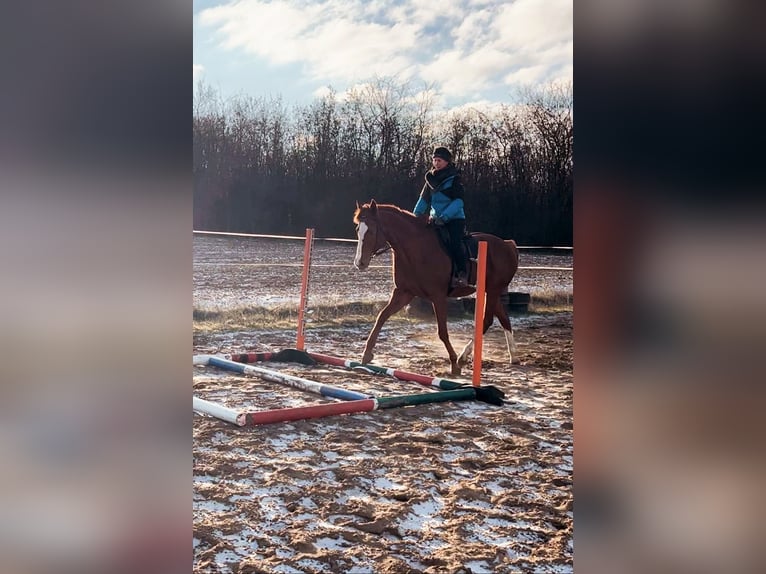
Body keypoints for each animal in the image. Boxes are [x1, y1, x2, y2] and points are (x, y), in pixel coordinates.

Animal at [354, 200, 520, 376]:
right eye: (358, 230)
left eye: (371, 230)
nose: (360, 263)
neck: (416, 249)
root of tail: (508, 245)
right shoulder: (403, 293)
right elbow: (381, 317)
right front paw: (366, 354)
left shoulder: (438, 297)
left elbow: (442, 331)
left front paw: (454, 363)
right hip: (491, 291)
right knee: (503, 317)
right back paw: (513, 356)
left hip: (493, 290)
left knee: (487, 320)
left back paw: (463, 357)